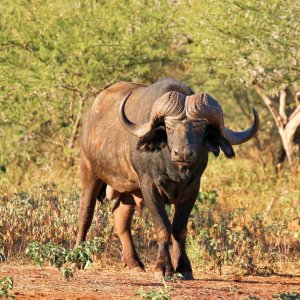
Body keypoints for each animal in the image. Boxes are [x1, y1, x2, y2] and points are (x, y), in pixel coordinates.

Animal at [74, 77, 258, 278]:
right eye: (169, 127)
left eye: (199, 127)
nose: (183, 153)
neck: (174, 171)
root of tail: (90, 116)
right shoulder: (149, 187)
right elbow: (163, 227)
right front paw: (163, 267)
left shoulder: (192, 190)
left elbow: (179, 229)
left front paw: (184, 267)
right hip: (89, 171)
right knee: (86, 213)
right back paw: (77, 258)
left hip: (130, 190)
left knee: (120, 217)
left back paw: (134, 263)